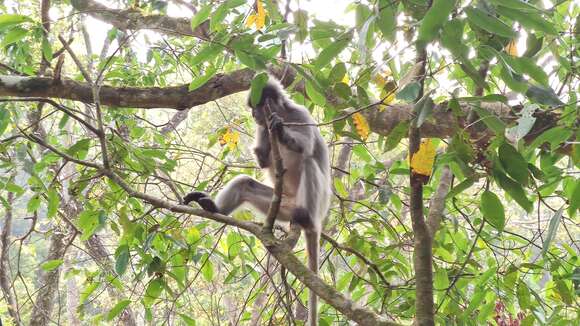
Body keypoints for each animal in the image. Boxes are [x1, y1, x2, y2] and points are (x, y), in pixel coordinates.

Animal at [186, 77, 330, 324]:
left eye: (257, 106)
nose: (254, 114)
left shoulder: (301, 115)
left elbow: (305, 146)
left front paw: (280, 130)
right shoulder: (263, 131)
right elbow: (263, 162)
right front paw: (269, 132)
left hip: (311, 204)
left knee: (309, 161)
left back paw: (304, 216)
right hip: (281, 205)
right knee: (245, 183)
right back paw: (212, 207)